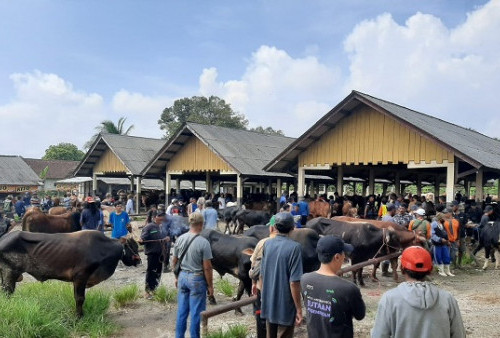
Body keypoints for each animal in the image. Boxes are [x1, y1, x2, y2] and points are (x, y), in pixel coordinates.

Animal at [0, 230, 141, 316]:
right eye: (133, 247)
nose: (139, 260)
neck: (103, 249)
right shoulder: (80, 277)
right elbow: (79, 298)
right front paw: (79, 316)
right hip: (9, 273)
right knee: (7, 293)